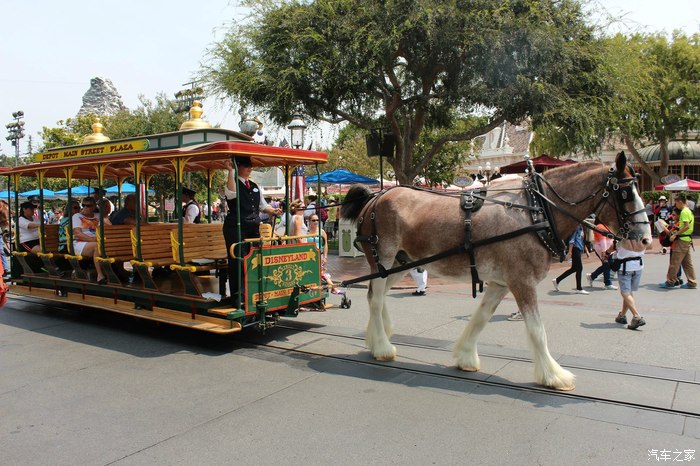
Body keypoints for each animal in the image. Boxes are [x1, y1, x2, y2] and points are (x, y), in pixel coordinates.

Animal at [340, 152, 651, 391]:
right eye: (625, 193)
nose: (645, 239)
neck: (537, 210)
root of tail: (375, 197)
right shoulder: (522, 281)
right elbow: (537, 330)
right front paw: (554, 375)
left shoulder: (501, 282)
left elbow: (481, 318)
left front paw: (466, 357)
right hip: (383, 257)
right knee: (375, 297)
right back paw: (382, 347)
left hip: (398, 263)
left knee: (377, 294)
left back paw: (377, 336)